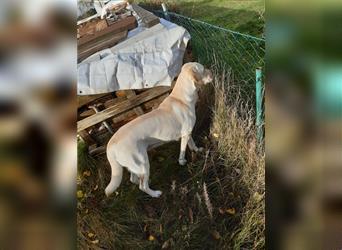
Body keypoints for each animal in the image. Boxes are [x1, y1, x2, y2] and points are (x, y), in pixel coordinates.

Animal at [105, 62, 211, 197]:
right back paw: (155, 194)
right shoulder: (185, 134)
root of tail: (110, 146)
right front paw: (182, 161)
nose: (212, 72)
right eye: (203, 69)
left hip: (135, 165)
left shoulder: (187, 132)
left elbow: (192, 144)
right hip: (143, 163)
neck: (181, 97)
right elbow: (183, 150)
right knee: (142, 186)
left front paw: (197, 150)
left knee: (134, 179)